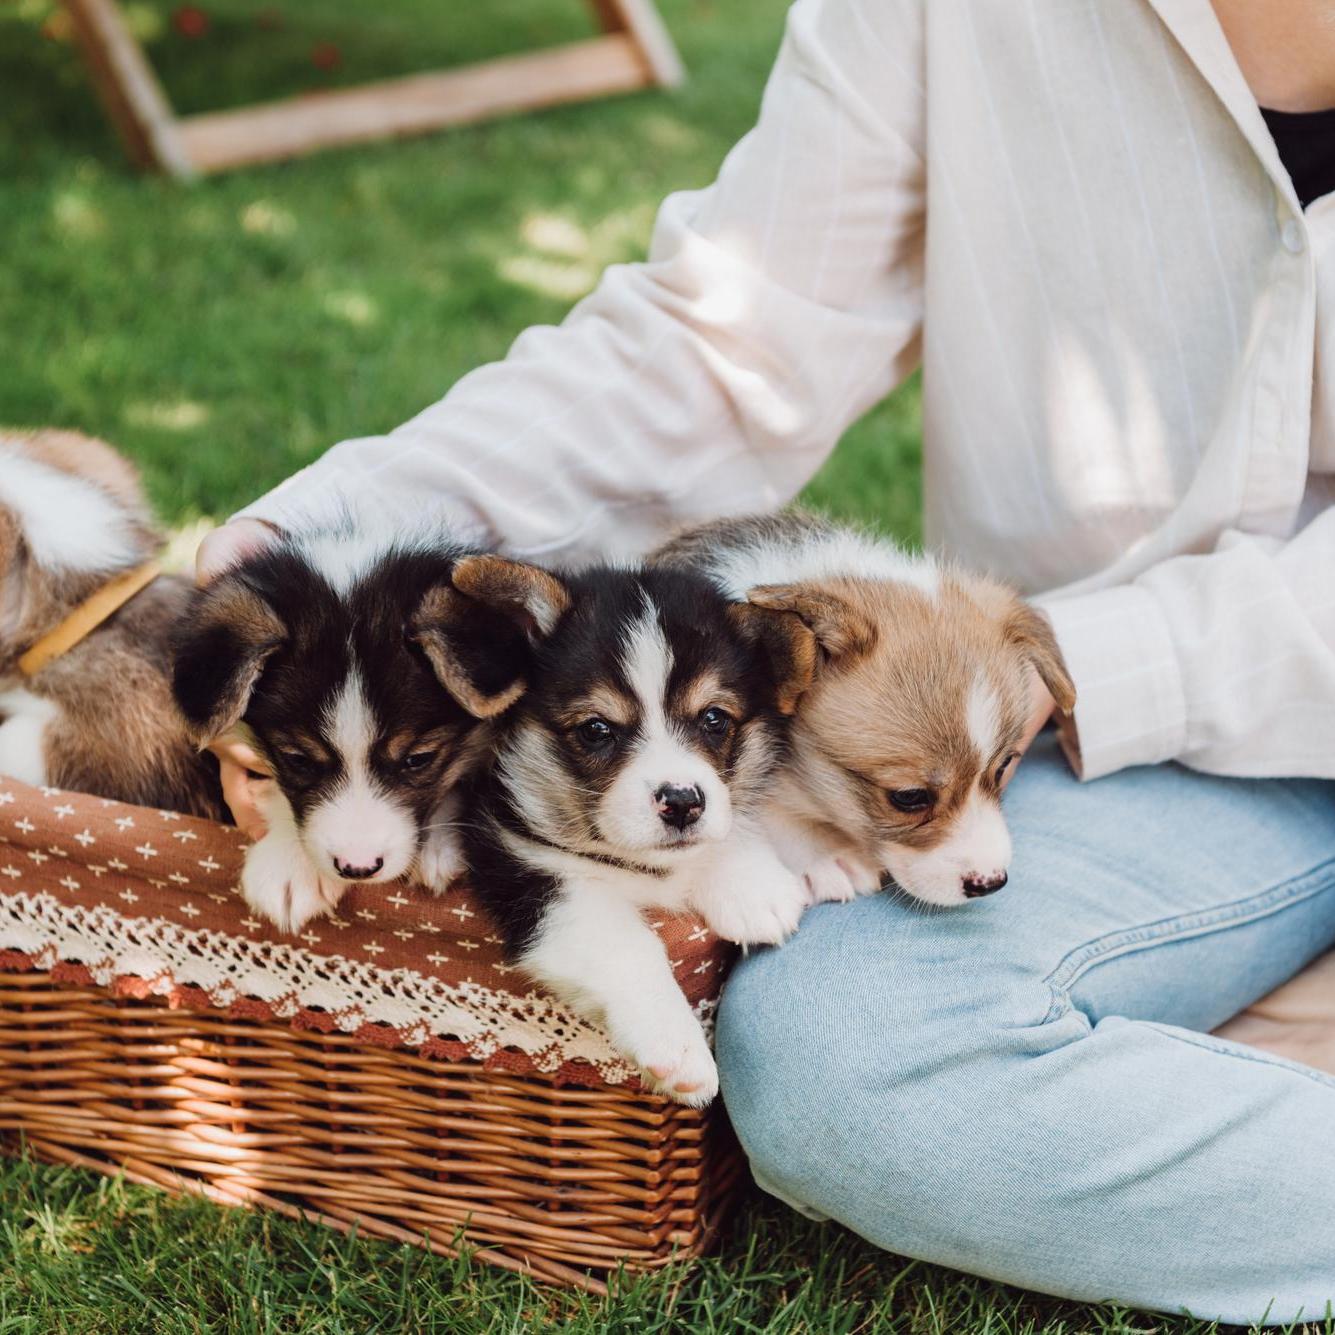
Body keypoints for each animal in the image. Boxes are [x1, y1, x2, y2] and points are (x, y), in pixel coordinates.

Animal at [437, 552, 811, 1105]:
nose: (682, 802)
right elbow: (626, 943)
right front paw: (676, 1046)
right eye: (597, 729)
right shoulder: (527, 869)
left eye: (714, 719)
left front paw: (752, 887)